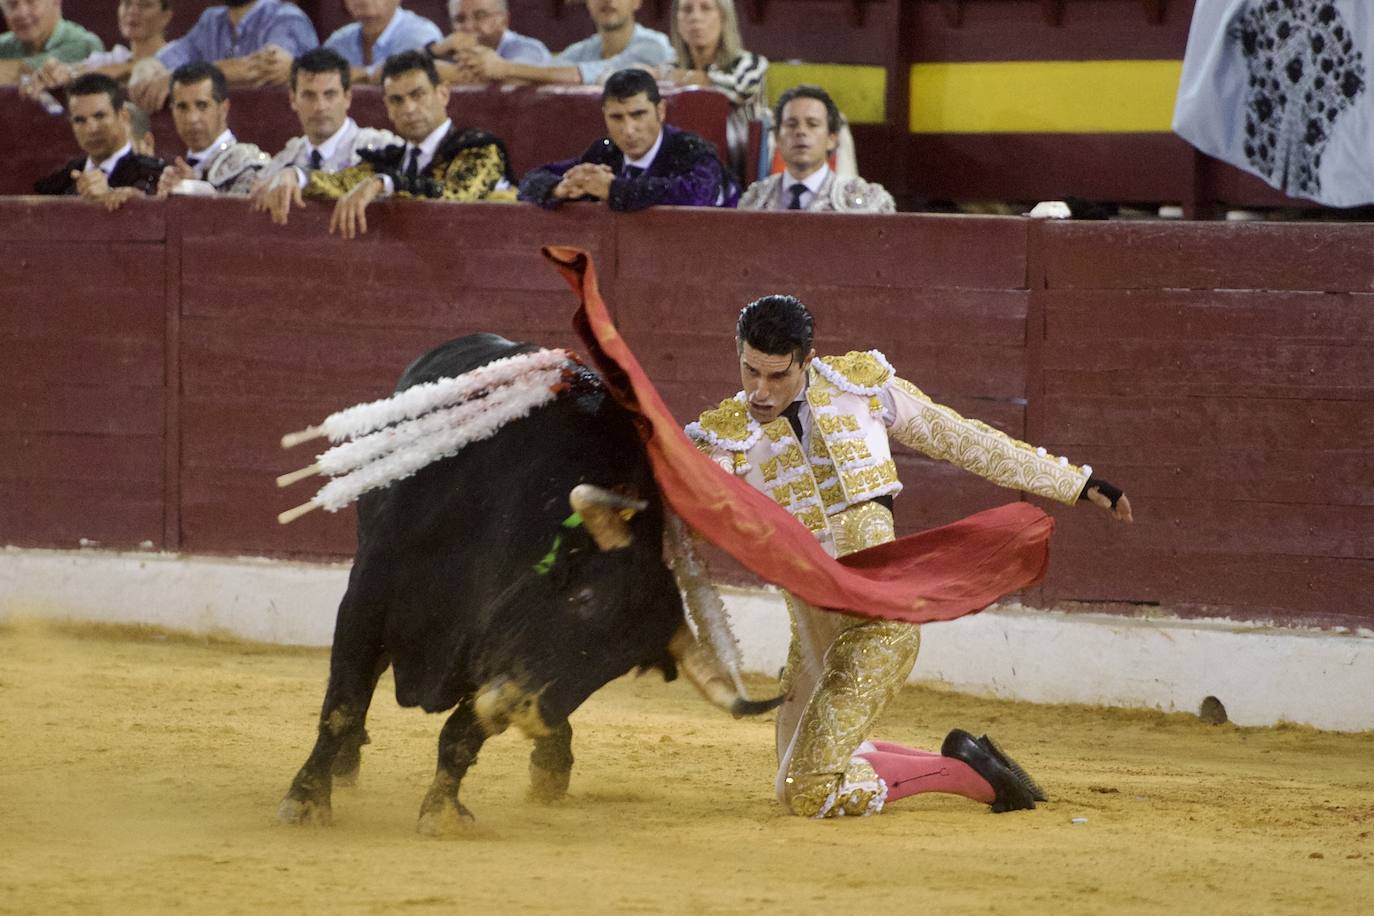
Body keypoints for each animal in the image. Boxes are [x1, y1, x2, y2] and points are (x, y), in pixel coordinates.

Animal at [276, 333, 785, 834]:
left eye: (621, 666)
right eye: (582, 598)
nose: (525, 711)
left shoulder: (495, 662)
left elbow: (462, 734)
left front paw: (443, 811)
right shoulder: (367, 599)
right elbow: (342, 705)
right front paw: (305, 799)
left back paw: (551, 764)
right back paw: (345, 768)